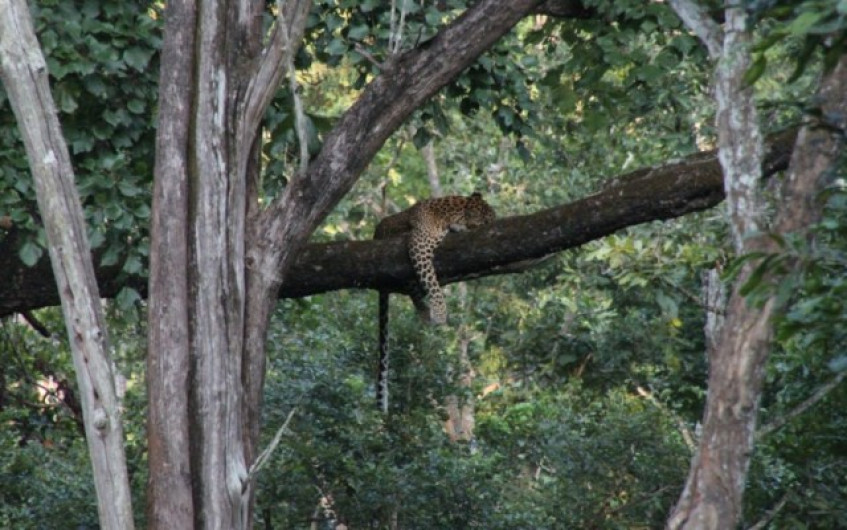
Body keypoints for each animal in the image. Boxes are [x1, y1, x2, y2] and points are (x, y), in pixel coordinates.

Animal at [372, 192, 495, 412]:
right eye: (486, 221)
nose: (489, 226)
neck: (450, 213)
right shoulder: (420, 244)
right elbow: (433, 283)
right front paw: (440, 313)